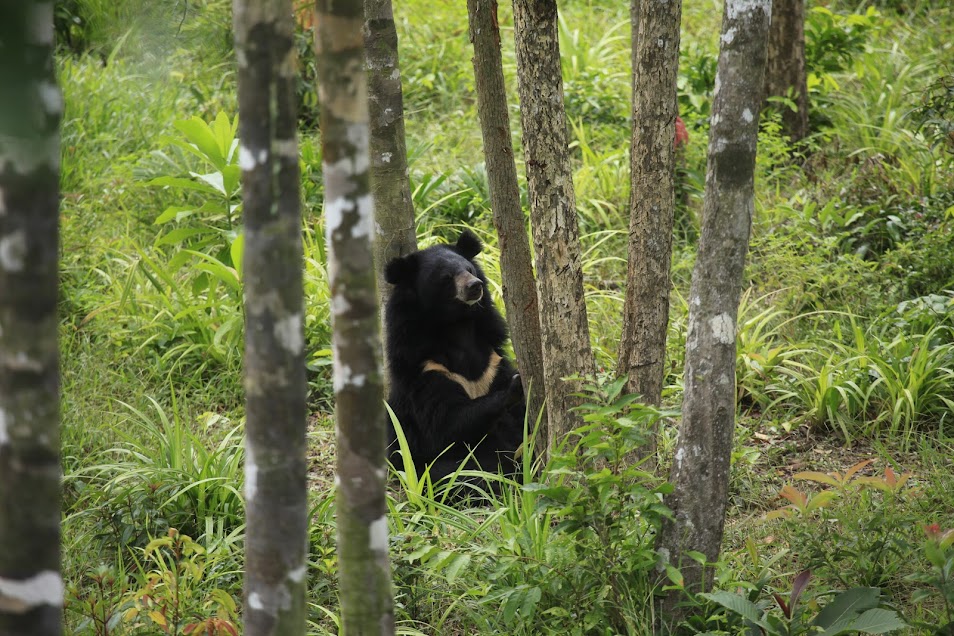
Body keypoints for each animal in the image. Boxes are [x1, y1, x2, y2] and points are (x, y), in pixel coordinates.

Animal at [384, 231, 524, 484]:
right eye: (446, 278)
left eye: (469, 269)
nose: (475, 286)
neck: (458, 327)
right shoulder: (427, 371)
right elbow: (446, 426)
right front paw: (515, 384)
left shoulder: (492, 362)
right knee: (459, 472)